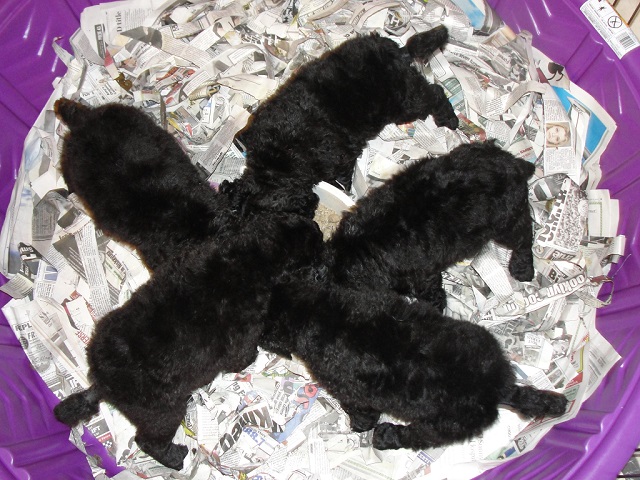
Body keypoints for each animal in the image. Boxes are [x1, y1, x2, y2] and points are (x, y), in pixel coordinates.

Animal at [53, 205, 324, 470]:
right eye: (313, 250)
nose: (317, 227)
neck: (248, 256)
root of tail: (103, 383)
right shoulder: (244, 334)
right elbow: (242, 355)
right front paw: (252, 359)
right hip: (164, 413)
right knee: (147, 441)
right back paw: (175, 458)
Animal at [222, 26, 458, 214]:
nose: (313, 207)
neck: (277, 159)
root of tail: (400, 54)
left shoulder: (341, 157)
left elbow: (341, 176)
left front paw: (341, 187)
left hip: (406, 103)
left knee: (435, 93)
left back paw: (449, 118)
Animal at [261, 279, 568, 451]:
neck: (319, 312)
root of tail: (496, 389)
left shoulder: (350, 392)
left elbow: (362, 414)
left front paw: (359, 428)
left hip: (443, 425)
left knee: (419, 436)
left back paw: (387, 436)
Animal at [325, 140, 536, 311]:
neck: (363, 248)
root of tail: (514, 164)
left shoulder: (422, 276)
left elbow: (430, 292)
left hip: (508, 221)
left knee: (524, 238)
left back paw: (522, 269)